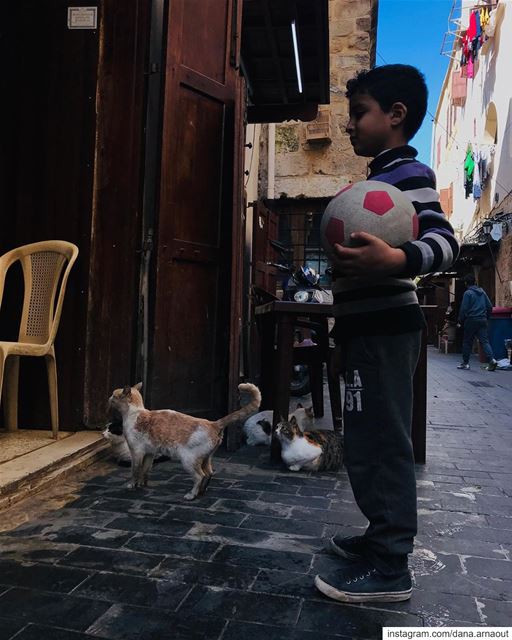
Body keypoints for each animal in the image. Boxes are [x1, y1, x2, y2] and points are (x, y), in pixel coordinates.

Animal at [108, 380, 260, 500]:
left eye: (114, 395)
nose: (108, 398)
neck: (134, 413)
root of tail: (213, 423)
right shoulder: (150, 453)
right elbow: (145, 471)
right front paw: (141, 485)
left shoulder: (136, 452)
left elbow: (135, 471)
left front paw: (131, 485)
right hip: (206, 459)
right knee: (209, 473)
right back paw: (201, 492)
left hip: (188, 460)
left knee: (200, 476)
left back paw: (191, 495)